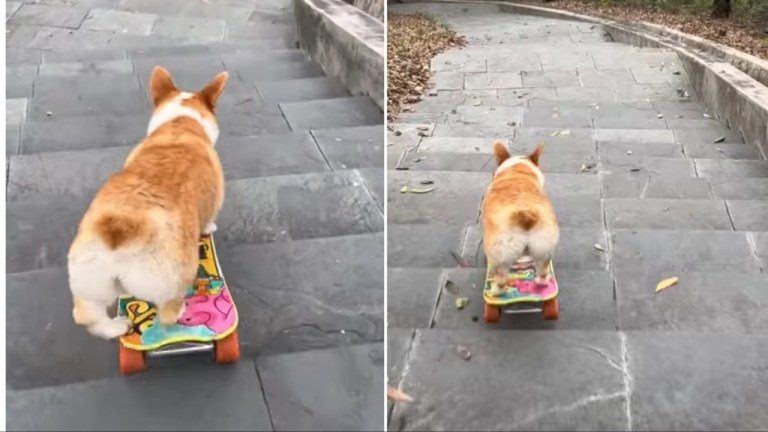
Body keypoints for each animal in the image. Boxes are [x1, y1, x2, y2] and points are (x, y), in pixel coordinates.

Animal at [68, 66, 228, 340]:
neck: (180, 124)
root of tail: (122, 230)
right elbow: (209, 221)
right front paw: (210, 228)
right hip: (174, 276)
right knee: (168, 311)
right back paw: (180, 309)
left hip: (90, 280)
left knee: (87, 315)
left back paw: (115, 327)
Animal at [480, 142, 560, 296]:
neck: (517, 170)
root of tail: (526, 216)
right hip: (543, 249)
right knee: (543, 271)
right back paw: (540, 282)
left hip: (498, 254)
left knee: (501, 280)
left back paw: (494, 291)